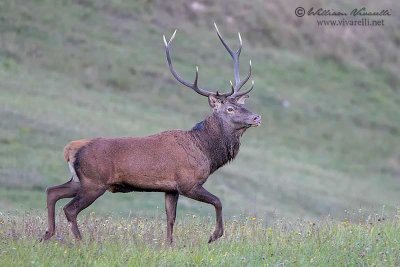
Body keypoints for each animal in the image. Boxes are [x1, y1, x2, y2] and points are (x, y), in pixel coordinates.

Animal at [42, 24, 262, 246]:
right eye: (230, 109)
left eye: (243, 105)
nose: (257, 117)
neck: (206, 151)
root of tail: (71, 149)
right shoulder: (188, 183)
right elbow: (218, 201)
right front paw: (214, 235)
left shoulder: (171, 189)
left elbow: (171, 218)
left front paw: (169, 245)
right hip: (94, 182)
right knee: (70, 208)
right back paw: (80, 241)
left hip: (79, 180)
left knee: (52, 191)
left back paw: (47, 234)